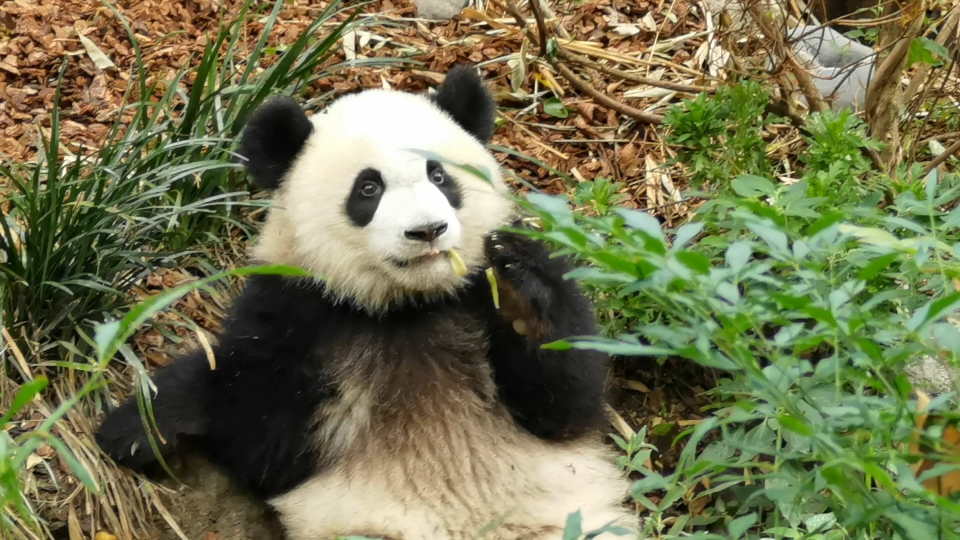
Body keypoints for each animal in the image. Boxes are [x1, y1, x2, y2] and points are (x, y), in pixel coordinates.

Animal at [95, 64, 636, 540]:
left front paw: (519, 299)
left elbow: (567, 403)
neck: (409, 304)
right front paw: (143, 424)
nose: (427, 231)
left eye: (440, 177)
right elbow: (262, 439)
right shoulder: (292, 304)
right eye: (368, 188)